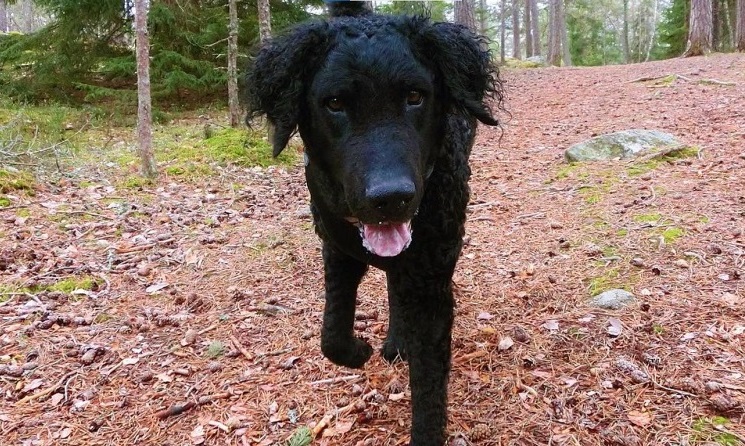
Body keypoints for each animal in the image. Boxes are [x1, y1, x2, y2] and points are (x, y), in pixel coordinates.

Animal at [247, 2, 502, 442]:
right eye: (334, 103)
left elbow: (429, 388)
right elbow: (331, 334)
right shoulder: (337, 250)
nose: (390, 197)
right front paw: (357, 350)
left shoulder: (431, 282)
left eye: (415, 97)